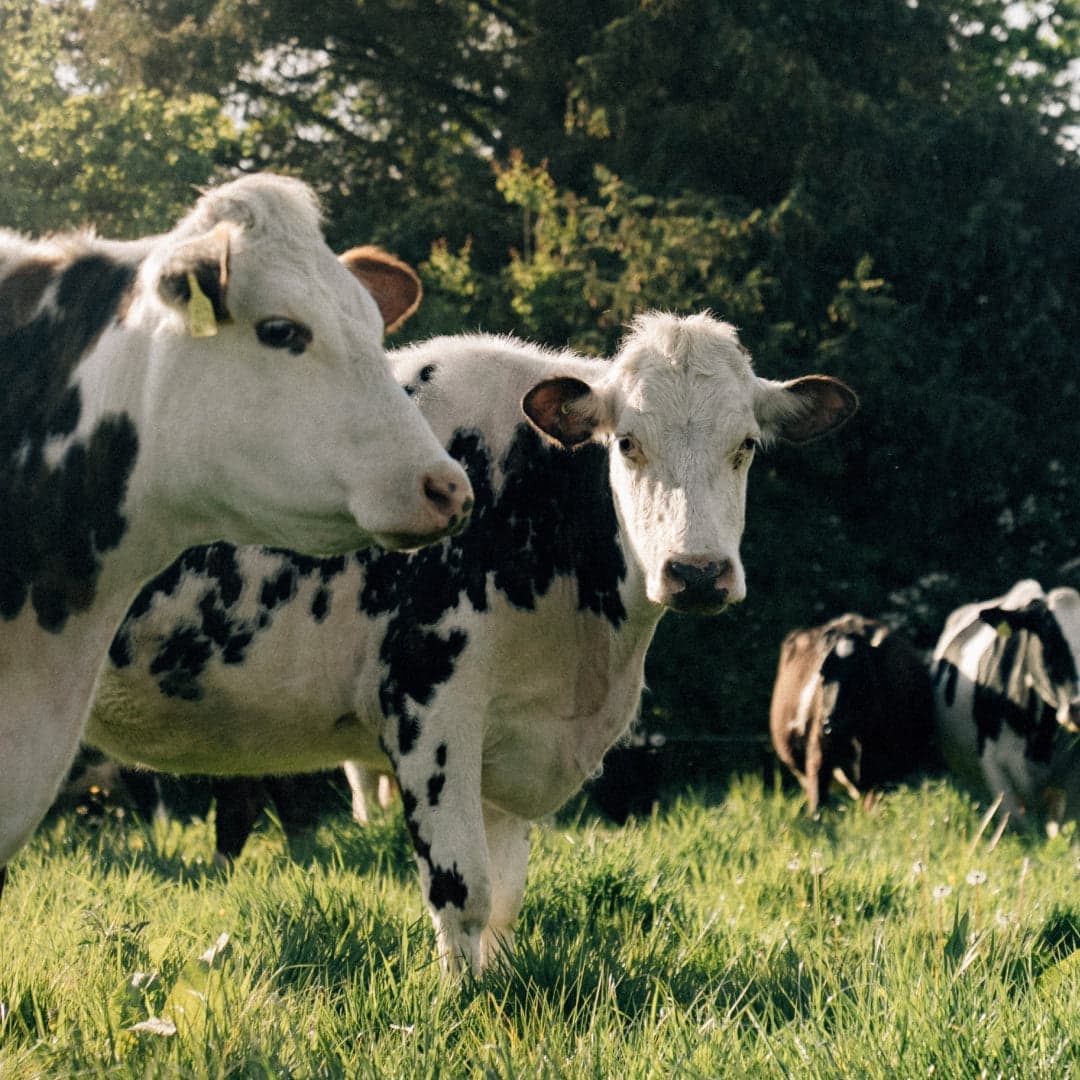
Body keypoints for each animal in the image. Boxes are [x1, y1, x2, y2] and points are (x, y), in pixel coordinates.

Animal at [86, 312, 857, 975]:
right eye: (628, 443)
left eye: (745, 446)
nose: (696, 572)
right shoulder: (428, 701)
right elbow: (464, 888)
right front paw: (464, 1002)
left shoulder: (511, 736)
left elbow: (506, 897)